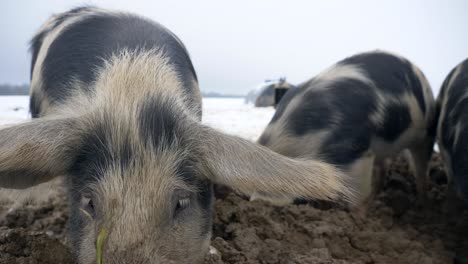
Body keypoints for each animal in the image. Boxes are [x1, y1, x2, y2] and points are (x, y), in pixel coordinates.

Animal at [256, 51, 436, 208]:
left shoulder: (356, 152)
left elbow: (358, 197)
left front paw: (358, 219)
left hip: (425, 135)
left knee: (421, 170)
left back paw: (422, 204)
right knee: (383, 168)